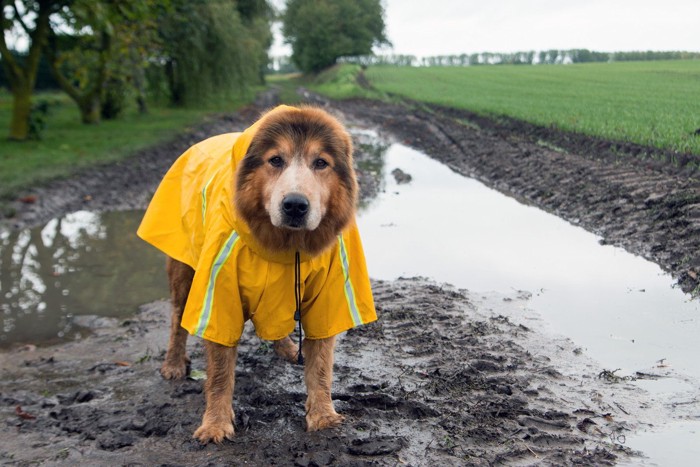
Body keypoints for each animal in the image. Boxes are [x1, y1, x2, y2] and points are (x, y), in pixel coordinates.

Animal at [138, 107, 378, 446]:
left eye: (321, 162)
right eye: (275, 160)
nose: (295, 205)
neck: (286, 247)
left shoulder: (330, 295)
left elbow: (321, 366)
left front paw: (322, 415)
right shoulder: (219, 294)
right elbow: (220, 373)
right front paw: (215, 424)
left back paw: (287, 348)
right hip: (184, 270)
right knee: (176, 319)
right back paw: (173, 363)